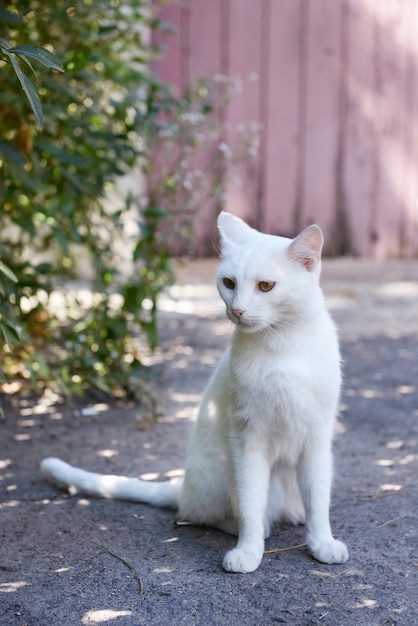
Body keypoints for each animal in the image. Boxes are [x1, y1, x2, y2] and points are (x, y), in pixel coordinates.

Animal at [40, 212, 348, 572]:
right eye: (229, 283)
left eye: (265, 286)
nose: (238, 310)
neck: (283, 345)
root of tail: (183, 485)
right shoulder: (248, 440)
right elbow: (250, 502)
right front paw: (249, 550)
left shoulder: (316, 439)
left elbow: (318, 501)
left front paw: (322, 543)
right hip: (217, 471)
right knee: (204, 514)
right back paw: (252, 527)